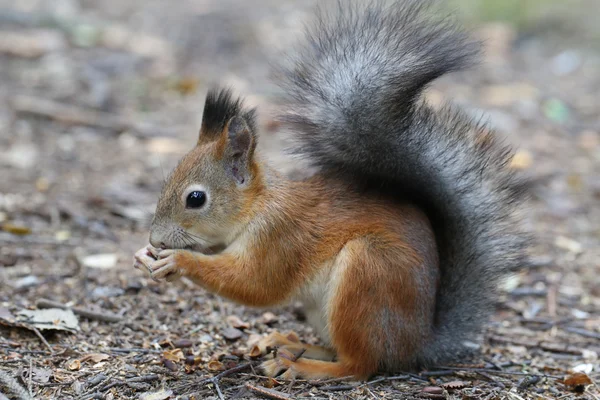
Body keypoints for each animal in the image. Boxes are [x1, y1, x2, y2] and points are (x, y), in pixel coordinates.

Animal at [134, 0, 528, 382]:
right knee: (341, 351)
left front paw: (178, 261)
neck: (258, 206)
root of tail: (417, 344)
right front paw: (148, 258)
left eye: (195, 199)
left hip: (368, 272)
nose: (155, 239)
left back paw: (304, 366)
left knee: (358, 365)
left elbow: (256, 284)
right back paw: (290, 343)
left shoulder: (281, 238)